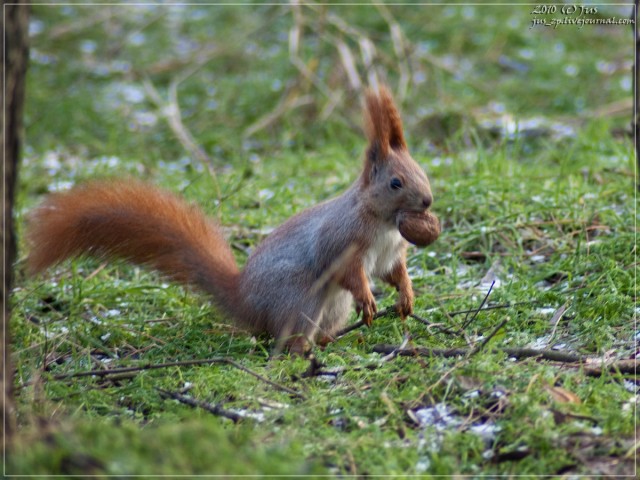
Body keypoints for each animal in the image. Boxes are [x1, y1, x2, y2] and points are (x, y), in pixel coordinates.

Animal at [26, 86, 440, 354]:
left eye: (421, 170)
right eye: (395, 182)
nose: (427, 200)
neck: (383, 221)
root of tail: (247, 303)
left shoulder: (389, 252)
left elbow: (393, 272)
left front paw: (406, 296)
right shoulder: (341, 240)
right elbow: (351, 272)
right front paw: (369, 299)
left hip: (330, 307)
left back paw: (330, 341)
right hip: (300, 298)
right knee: (286, 340)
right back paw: (304, 351)